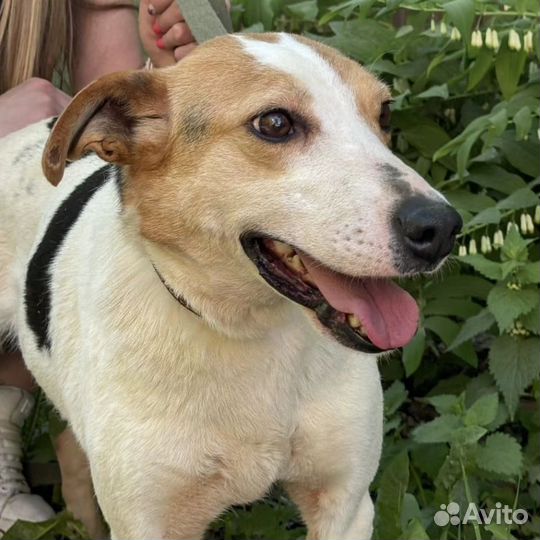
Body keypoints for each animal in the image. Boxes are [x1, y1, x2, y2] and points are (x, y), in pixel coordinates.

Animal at [1, 34, 460, 540]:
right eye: (275, 123)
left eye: (385, 114)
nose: (440, 228)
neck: (244, 329)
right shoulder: (149, 521)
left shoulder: (346, 505)